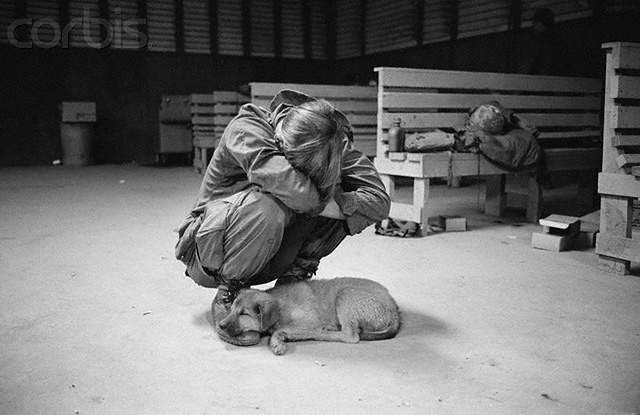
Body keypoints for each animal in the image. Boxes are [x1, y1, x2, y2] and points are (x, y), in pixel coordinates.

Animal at [218, 278, 402, 356]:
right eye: (231, 309)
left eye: (244, 314)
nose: (220, 325)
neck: (281, 306)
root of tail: (394, 309)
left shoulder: (308, 324)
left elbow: (279, 331)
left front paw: (277, 343)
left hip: (345, 294)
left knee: (350, 336)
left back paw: (326, 332)